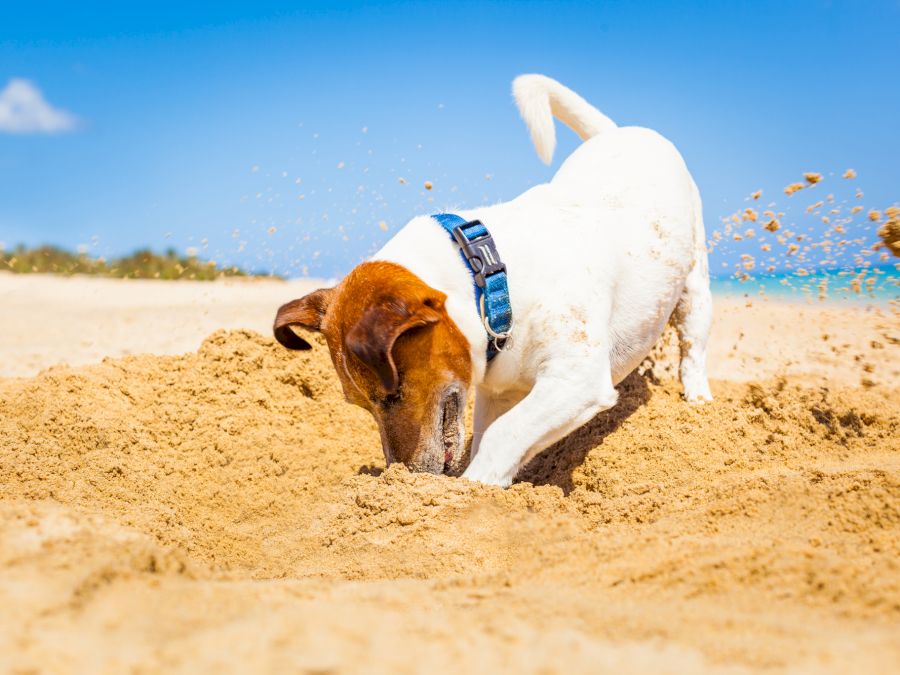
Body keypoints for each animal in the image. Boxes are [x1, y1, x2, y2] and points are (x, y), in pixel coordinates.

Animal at [272, 75, 712, 486]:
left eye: (393, 394)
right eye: (361, 404)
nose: (403, 474)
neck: (491, 282)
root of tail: (618, 132)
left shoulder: (577, 377)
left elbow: (505, 435)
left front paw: (474, 487)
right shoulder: (497, 391)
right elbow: (494, 437)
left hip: (695, 284)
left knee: (693, 347)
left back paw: (698, 402)